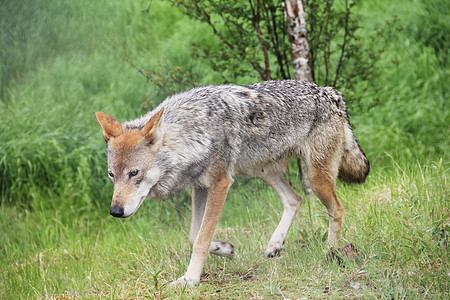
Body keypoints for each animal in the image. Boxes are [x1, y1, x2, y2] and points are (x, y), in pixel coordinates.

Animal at [94, 79, 370, 286]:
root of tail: (332, 94)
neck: (194, 133)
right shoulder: (200, 186)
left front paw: (189, 280)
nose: (115, 211)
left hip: (315, 178)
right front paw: (225, 249)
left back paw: (330, 252)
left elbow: (201, 240)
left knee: (337, 209)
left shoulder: (220, 184)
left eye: (134, 173)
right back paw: (275, 244)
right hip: (262, 170)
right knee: (295, 199)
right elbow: (194, 236)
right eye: (111, 175)